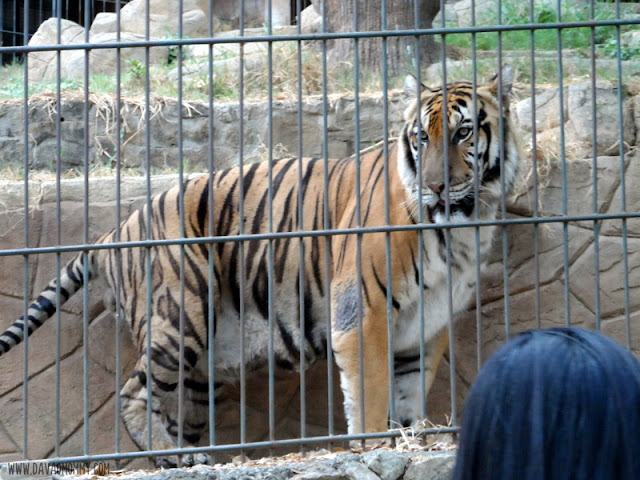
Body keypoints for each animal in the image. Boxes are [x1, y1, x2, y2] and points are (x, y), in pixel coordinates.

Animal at [0, 65, 520, 466]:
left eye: (463, 132)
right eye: (421, 138)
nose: (434, 186)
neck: (459, 226)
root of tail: (116, 231)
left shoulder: (424, 326)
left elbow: (409, 395)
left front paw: (409, 440)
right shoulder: (364, 312)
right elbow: (371, 393)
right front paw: (374, 446)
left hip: (204, 365)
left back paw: (191, 455)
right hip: (179, 317)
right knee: (135, 394)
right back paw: (173, 457)